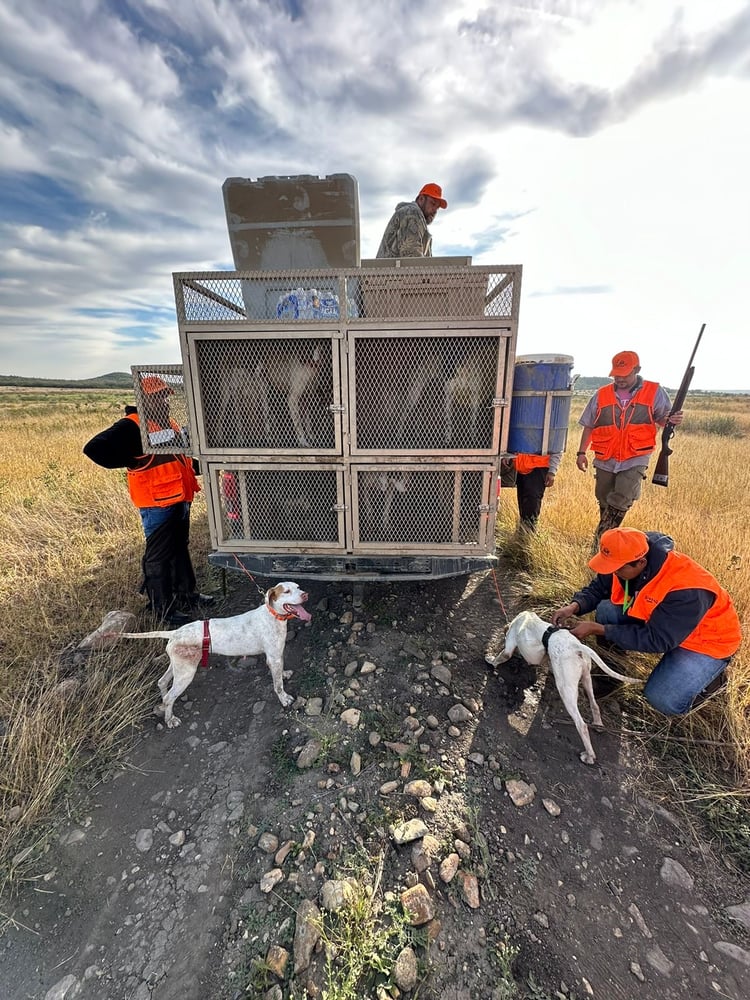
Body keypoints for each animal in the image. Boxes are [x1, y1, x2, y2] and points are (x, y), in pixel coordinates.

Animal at [118, 580, 312, 728]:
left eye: (299, 587)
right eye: (286, 591)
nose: (305, 595)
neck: (273, 615)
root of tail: (174, 632)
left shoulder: (277, 656)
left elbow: (280, 675)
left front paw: (284, 674)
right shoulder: (273, 658)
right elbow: (278, 685)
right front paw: (284, 699)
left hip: (179, 666)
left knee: (162, 682)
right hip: (186, 674)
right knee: (168, 697)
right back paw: (170, 719)